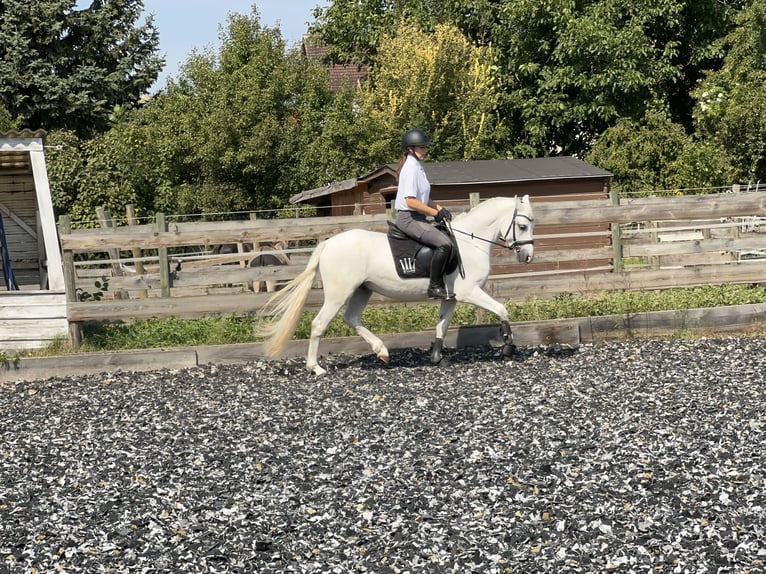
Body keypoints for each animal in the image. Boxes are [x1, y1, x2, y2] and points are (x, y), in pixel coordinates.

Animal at [256, 197, 536, 378]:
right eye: (522, 226)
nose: (528, 256)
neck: (470, 242)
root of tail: (328, 244)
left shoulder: (451, 297)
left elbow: (441, 326)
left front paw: (437, 358)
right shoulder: (470, 293)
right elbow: (502, 310)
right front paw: (508, 347)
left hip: (363, 289)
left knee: (352, 318)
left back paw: (382, 352)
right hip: (338, 294)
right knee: (319, 324)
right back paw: (316, 368)